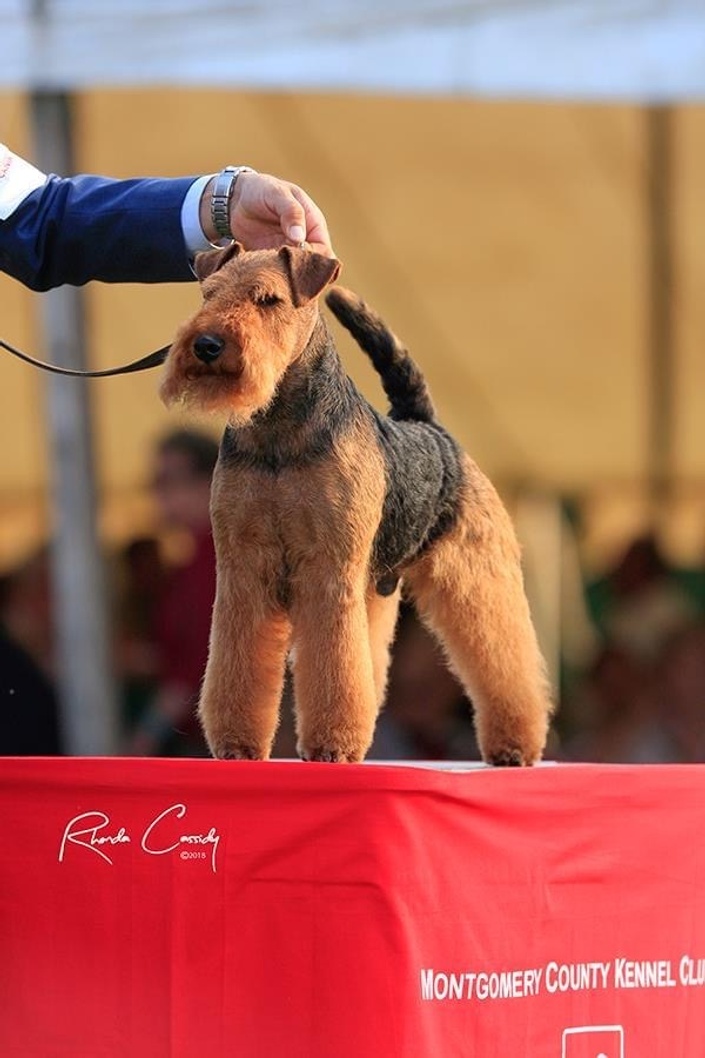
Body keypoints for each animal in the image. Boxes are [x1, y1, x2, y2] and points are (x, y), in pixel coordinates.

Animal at [158, 243, 550, 765]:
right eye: (209, 293)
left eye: (268, 299)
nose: (206, 345)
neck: (279, 435)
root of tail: (427, 424)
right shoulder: (244, 569)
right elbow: (239, 666)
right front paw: (237, 745)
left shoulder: (328, 570)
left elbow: (334, 667)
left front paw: (332, 745)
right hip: (374, 588)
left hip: (477, 575)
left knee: (504, 658)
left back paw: (515, 747)